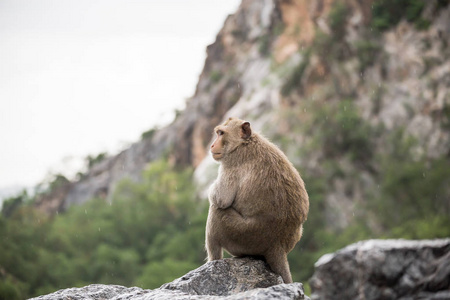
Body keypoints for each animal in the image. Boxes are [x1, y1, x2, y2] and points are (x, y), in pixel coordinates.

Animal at [205, 117, 308, 284]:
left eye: (221, 133)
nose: (213, 145)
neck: (245, 142)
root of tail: (277, 246)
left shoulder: (231, 161)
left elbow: (221, 199)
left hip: (243, 236)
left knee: (217, 211)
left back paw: (213, 261)